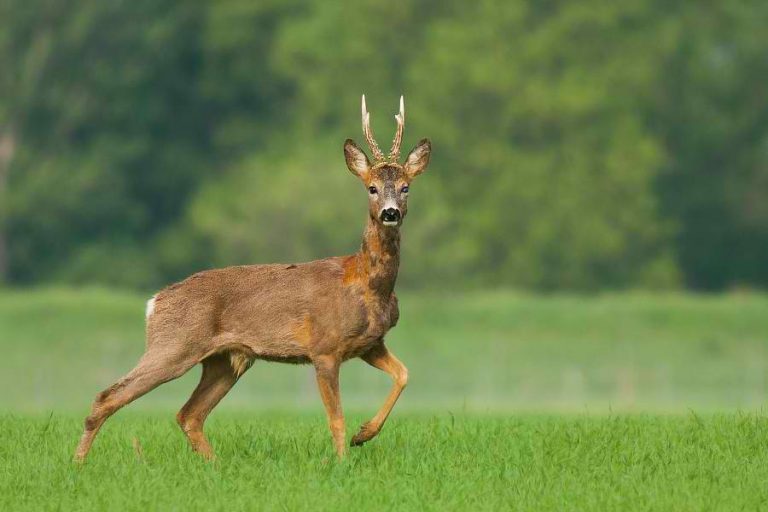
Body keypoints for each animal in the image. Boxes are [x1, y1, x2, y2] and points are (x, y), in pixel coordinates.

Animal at [76, 95, 432, 460]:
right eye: (372, 188)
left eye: (405, 187)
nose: (390, 212)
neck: (367, 286)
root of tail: (154, 301)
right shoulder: (324, 347)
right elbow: (336, 418)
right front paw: (343, 459)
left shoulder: (370, 343)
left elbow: (404, 374)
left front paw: (364, 434)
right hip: (174, 344)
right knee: (108, 397)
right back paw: (79, 463)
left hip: (225, 360)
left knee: (189, 414)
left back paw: (214, 464)